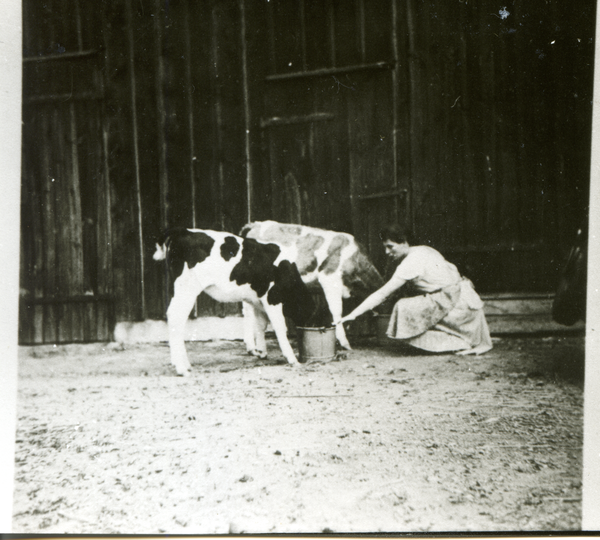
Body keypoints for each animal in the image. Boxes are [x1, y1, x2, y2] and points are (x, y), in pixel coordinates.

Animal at [152, 228, 316, 376]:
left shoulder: (258, 301)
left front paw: (262, 352)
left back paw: (183, 364)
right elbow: (280, 328)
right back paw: (181, 368)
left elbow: (261, 325)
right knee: (176, 318)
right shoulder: (272, 298)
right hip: (187, 287)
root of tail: (182, 231)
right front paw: (292, 359)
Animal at [240, 220, 384, 352]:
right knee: (248, 313)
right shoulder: (329, 278)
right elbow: (337, 311)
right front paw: (344, 343)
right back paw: (251, 346)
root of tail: (255, 224)